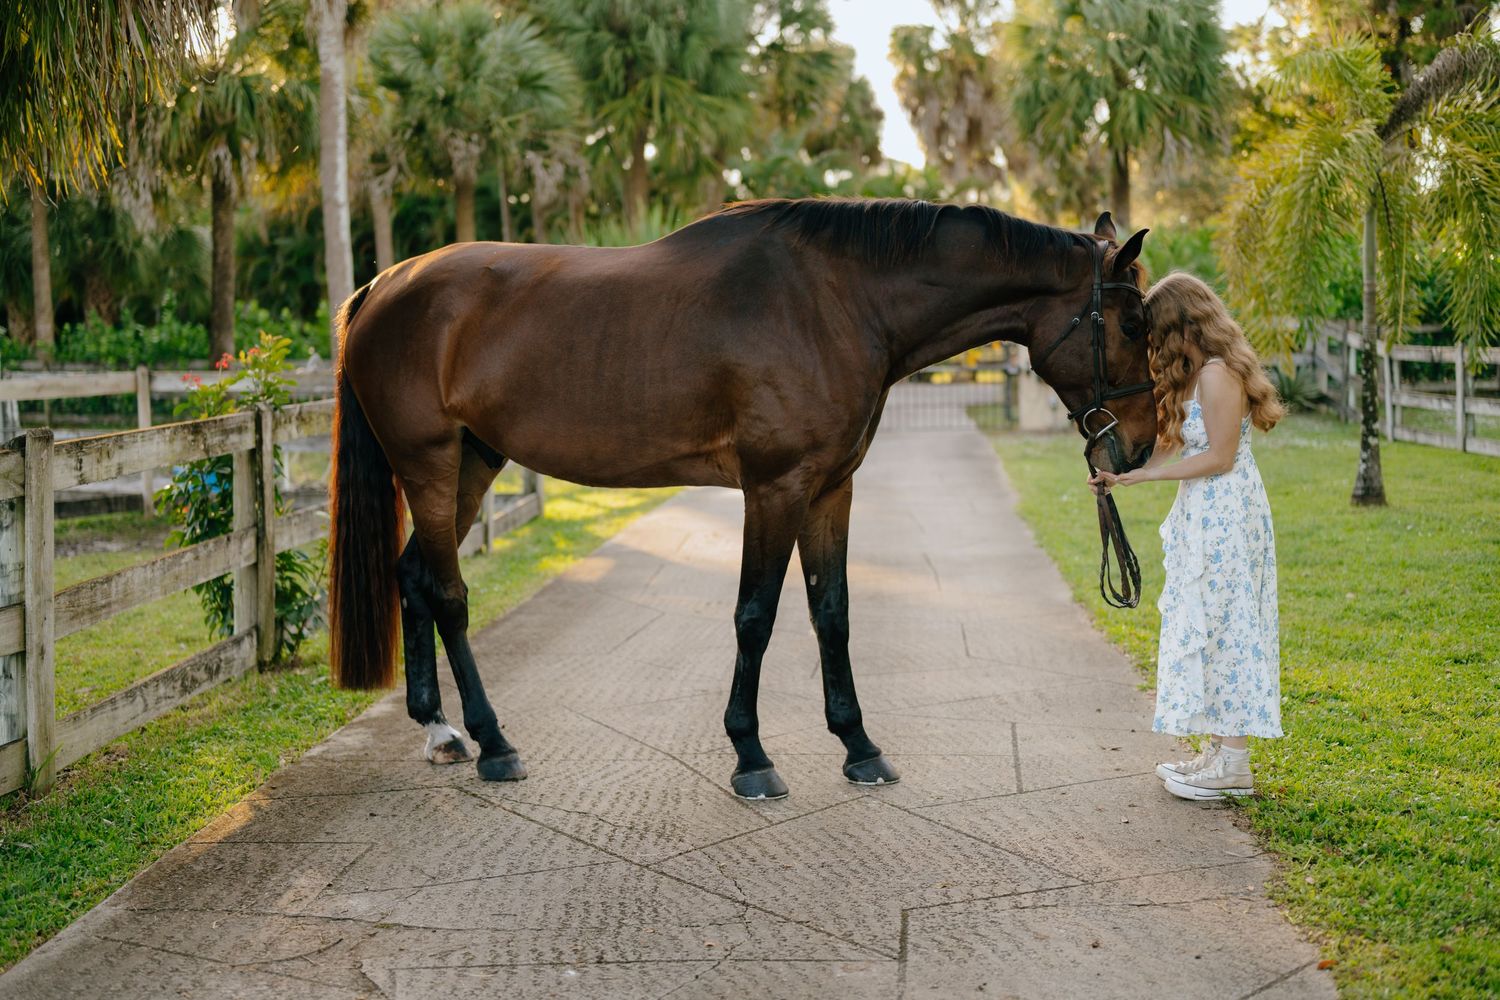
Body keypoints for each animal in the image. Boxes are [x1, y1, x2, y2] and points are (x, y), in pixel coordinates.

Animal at [327, 199, 1155, 800]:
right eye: (1129, 323)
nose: (1141, 446)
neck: (838, 302)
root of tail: (382, 287)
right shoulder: (774, 487)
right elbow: (755, 616)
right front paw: (751, 756)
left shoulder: (830, 489)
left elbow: (832, 612)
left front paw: (859, 747)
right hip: (430, 465)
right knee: (448, 594)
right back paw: (494, 744)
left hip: (474, 461)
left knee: (413, 579)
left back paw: (440, 732)